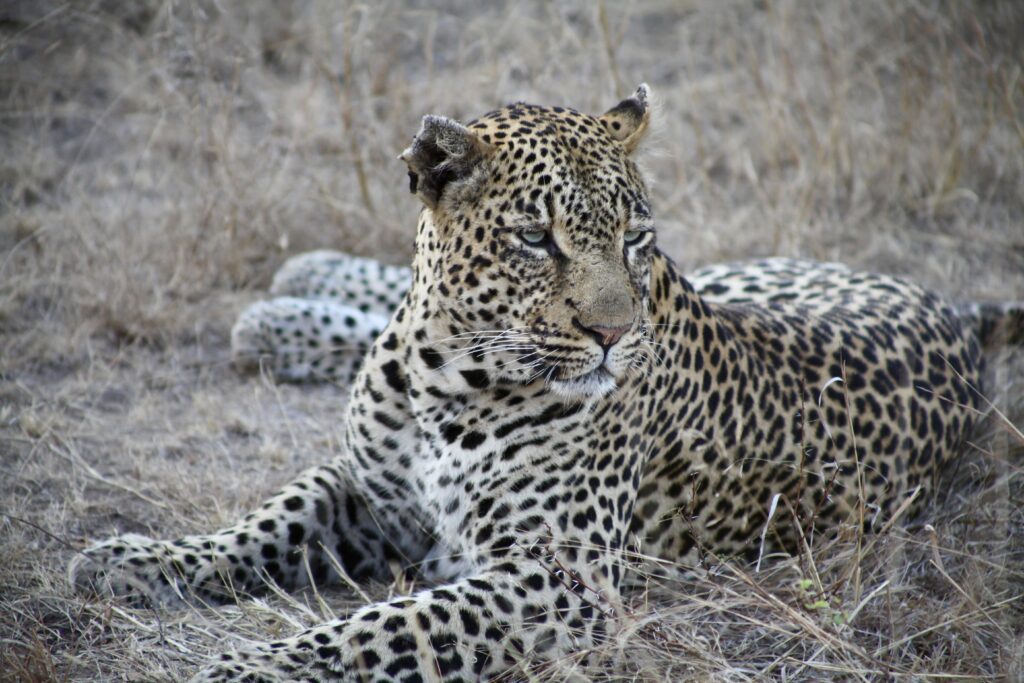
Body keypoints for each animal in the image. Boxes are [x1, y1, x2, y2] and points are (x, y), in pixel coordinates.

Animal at [72, 87, 1007, 683]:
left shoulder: (557, 579)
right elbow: (266, 522)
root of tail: (950, 309)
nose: (615, 334)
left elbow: (382, 626)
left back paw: (278, 308)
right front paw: (136, 558)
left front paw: (247, 663)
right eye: (535, 238)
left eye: (634, 239)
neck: (445, 371)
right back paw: (297, 288)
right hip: (745, 275)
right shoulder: (368, 493)